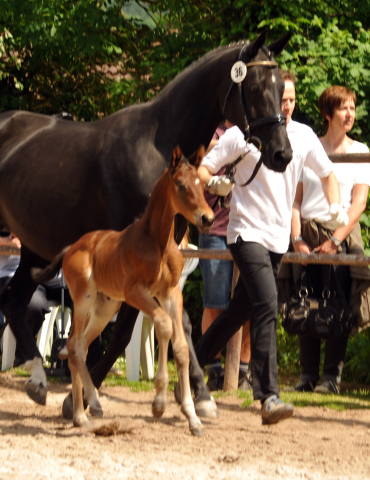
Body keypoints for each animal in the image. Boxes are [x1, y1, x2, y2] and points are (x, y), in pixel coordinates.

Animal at [45, 145, 214, 436]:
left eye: (201, 184)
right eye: (180, 186)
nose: (207, 218)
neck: (157, 242)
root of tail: (71, 248)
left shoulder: (171, 293)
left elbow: (181, 347)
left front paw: (192, 417)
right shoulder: (135, 292)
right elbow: (164, 325)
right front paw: (158, 404)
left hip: (105, 307)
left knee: (77, 345)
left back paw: (80, 417)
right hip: (83, 299)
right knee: (75, 345)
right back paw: (94, 404)